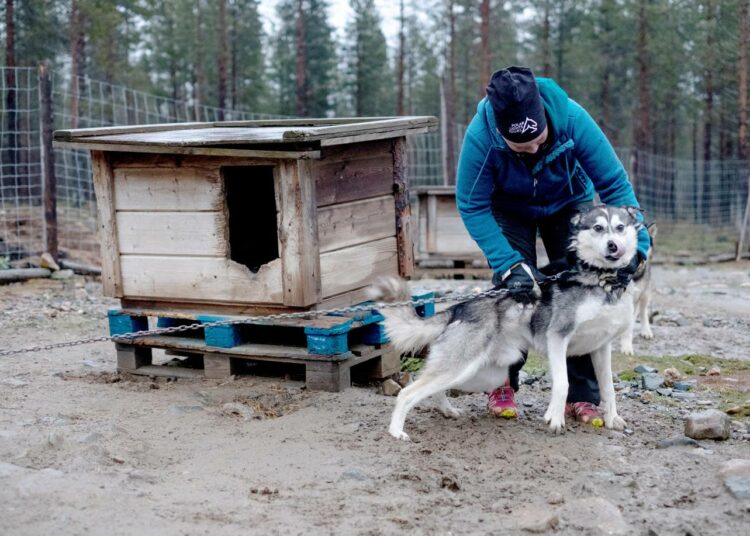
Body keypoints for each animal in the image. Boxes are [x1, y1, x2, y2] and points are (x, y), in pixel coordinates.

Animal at [374, 205, 644, 440]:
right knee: (407, 393)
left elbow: (608, 388)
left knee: (435, 389)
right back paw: (396, 431)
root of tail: (457, 308)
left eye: (620, 227)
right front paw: (555, 418)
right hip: (461, 367)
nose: (613, 245)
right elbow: (563, 383)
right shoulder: (557, 339)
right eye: (598, 228)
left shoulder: (600, 348)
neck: (600, 278)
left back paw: (447, 410)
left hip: (476, 374)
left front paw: (611, 419)